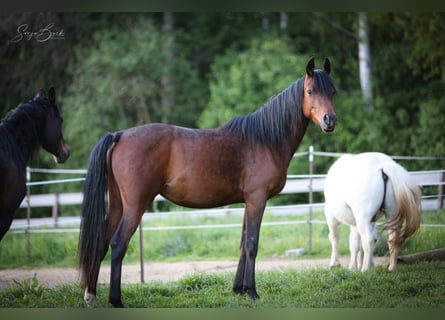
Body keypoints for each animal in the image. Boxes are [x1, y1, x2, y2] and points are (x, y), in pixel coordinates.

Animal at [79, 57, 336, 308]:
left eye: (333, 91)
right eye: (310, 91)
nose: (330, 120)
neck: (264, 141)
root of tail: (120, 135)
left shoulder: (247, 202)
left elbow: (242, 243)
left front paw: (238, 289)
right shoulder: (257, 199)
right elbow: (252, 244)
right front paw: (252, 292)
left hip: (117, 205)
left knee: (101, 242)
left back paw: (91, 295)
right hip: (135, 206)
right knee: (117, 244)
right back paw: (116, 300)